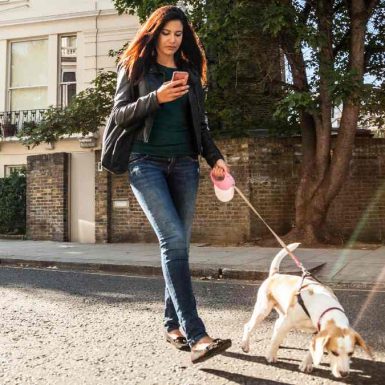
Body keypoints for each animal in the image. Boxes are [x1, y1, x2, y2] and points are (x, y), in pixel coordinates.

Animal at [240, 243, 372, 378]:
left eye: (351, 353)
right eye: (334, 352)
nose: (344, 374)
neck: (324, 306)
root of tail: (275, 274)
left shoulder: (317, 332)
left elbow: (311, 349)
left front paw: (307, 364)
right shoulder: (288, 323)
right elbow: (276, 340)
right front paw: (271, 355)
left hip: (281, 313)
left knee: (276, 326)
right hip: (263, 310)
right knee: (249, 326)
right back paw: (246, 344)